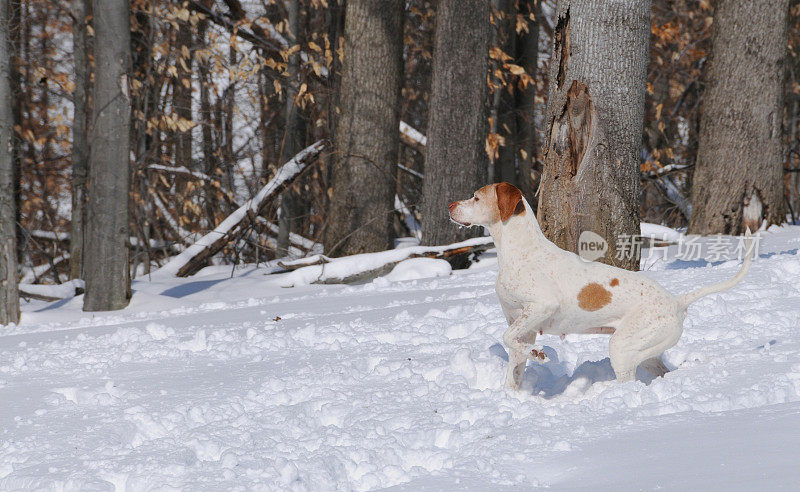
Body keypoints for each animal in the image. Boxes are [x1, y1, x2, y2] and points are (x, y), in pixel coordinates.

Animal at [446, 183, 752, 390]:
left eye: (476, 197)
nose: (449, 206)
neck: (520, 251)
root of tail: (677, 302)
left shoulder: (541, 306)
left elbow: (507, 338)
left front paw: (538, 355)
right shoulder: (523, 324)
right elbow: (514, 360)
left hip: (622, 349)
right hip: (648, 353)